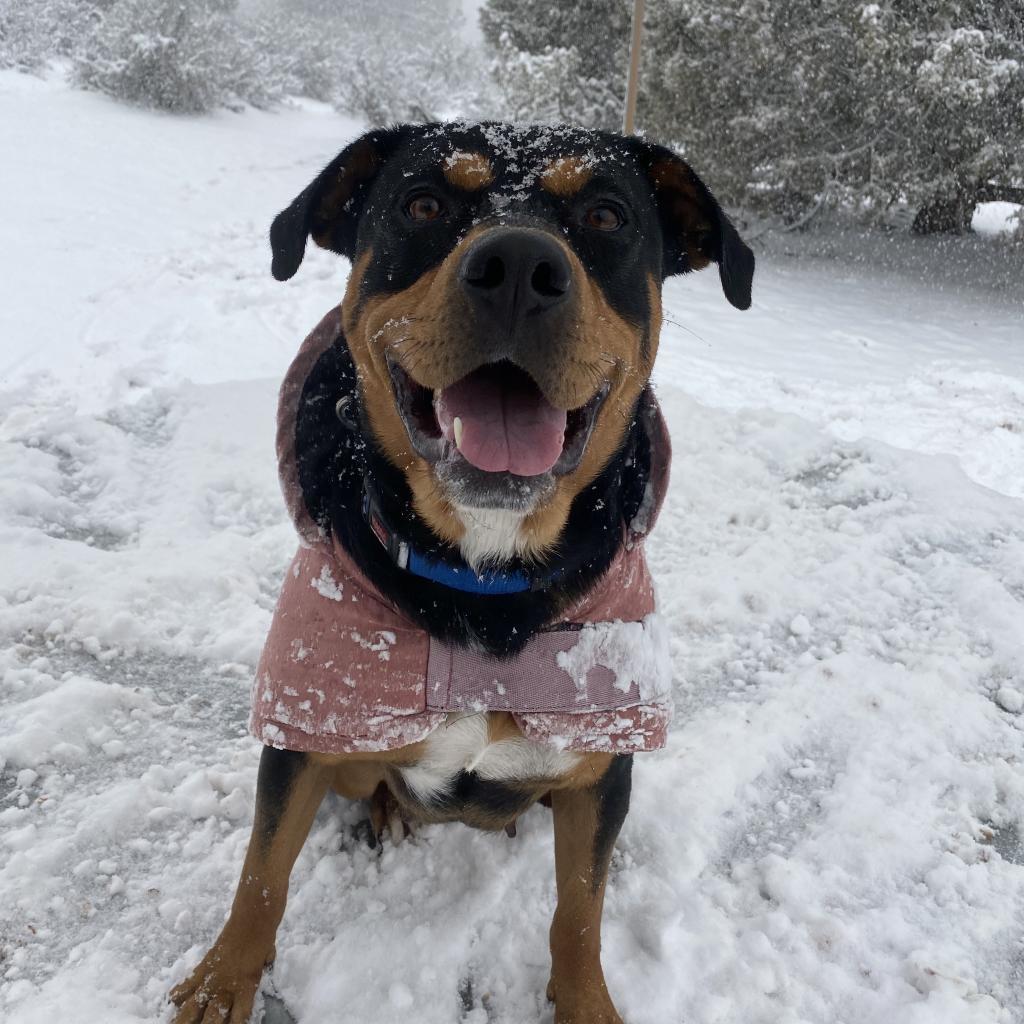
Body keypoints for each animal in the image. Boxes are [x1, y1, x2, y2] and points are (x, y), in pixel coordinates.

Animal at [169, 121, 753, 1024]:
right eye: (421, 203)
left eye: (608, 215)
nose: (517, 265)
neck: (484, 566)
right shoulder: (311, 725)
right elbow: (262, 874)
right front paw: (222, 981)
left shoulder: (602, 755)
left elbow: (580, 909)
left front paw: (587, 1004)